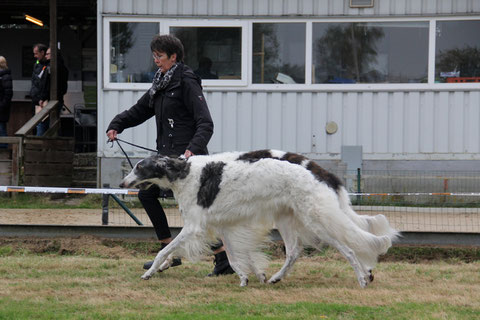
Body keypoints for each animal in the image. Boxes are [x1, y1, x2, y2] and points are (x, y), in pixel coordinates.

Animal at [120, 150, 398, 288]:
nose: (122, 183)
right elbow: (235, 257)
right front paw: (250, 277)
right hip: (287, 219)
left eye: (140, 167)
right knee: (294, 252)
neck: (184, 174)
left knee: (349, 249)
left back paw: (362, 278)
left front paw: (150, 273)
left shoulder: (194, 227)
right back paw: (276, 278)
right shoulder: (225, 225)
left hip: (318, 221)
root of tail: (318, 174)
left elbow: (164, 250)